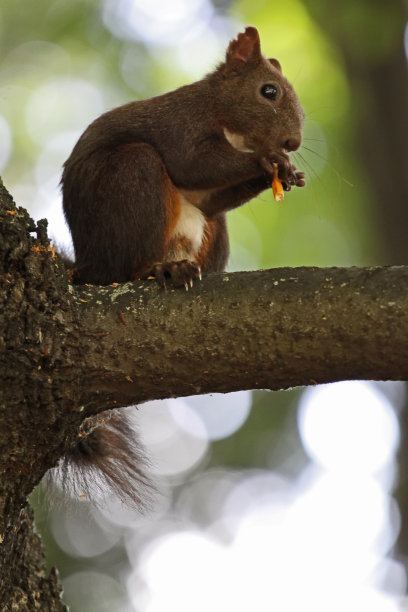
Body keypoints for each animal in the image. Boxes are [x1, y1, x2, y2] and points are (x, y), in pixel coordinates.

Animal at [52, 25, 304, 506]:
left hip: (212, 233)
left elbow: (212, 196)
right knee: (128, 267)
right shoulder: (181, 129)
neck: (224, 117)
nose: (293, 144)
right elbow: (193, 164)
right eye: (269, 91)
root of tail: (90, 264)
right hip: (133, 176)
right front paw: (269, 163)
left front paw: (286, 173)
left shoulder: (211, 197)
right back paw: (160, 271)